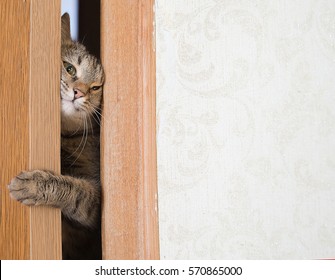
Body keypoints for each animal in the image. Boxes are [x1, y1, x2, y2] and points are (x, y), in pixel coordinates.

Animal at [8, 12, 105, 258]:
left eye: (96, 87)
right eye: (70, 69)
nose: (79, 92)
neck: (65, 135)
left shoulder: (96, 203)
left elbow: (76, 189)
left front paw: (35, 184)